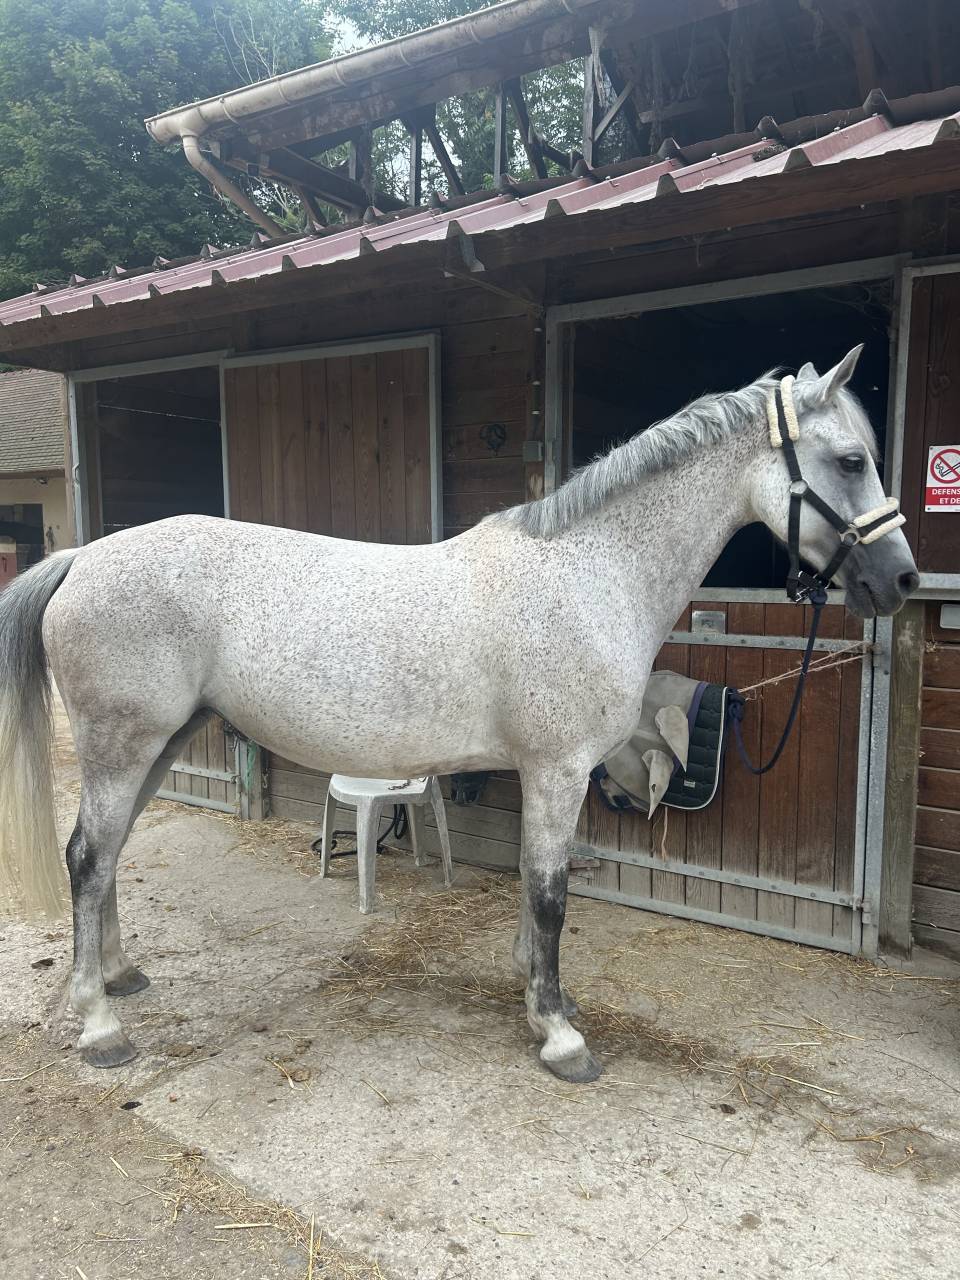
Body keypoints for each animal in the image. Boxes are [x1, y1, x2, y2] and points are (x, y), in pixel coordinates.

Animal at [0, 346, 918, 1083]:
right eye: (848, 461)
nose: (901, 581)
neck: (586, 572)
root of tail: (81, 555)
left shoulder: (548, 774)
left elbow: (535, 891)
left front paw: (541, 997)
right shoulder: (558, 770)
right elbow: (549, 894)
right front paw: (559, 1036)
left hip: (156, 743)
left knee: (109, 855)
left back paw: (119, 977)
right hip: (124, 745)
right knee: (87, 857)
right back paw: (100, 1026)